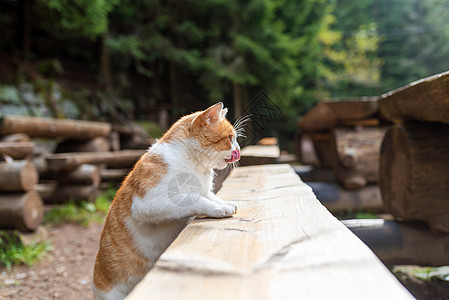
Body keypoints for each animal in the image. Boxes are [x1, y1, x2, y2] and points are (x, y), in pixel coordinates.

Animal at [93, 103, 242, 300]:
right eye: (230, 138)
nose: (239, 150)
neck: (196, 166)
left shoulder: (204, 190)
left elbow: (209, 196)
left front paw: (224, 203)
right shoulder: (147, 204)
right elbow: (194, 199)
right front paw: (219, 209)